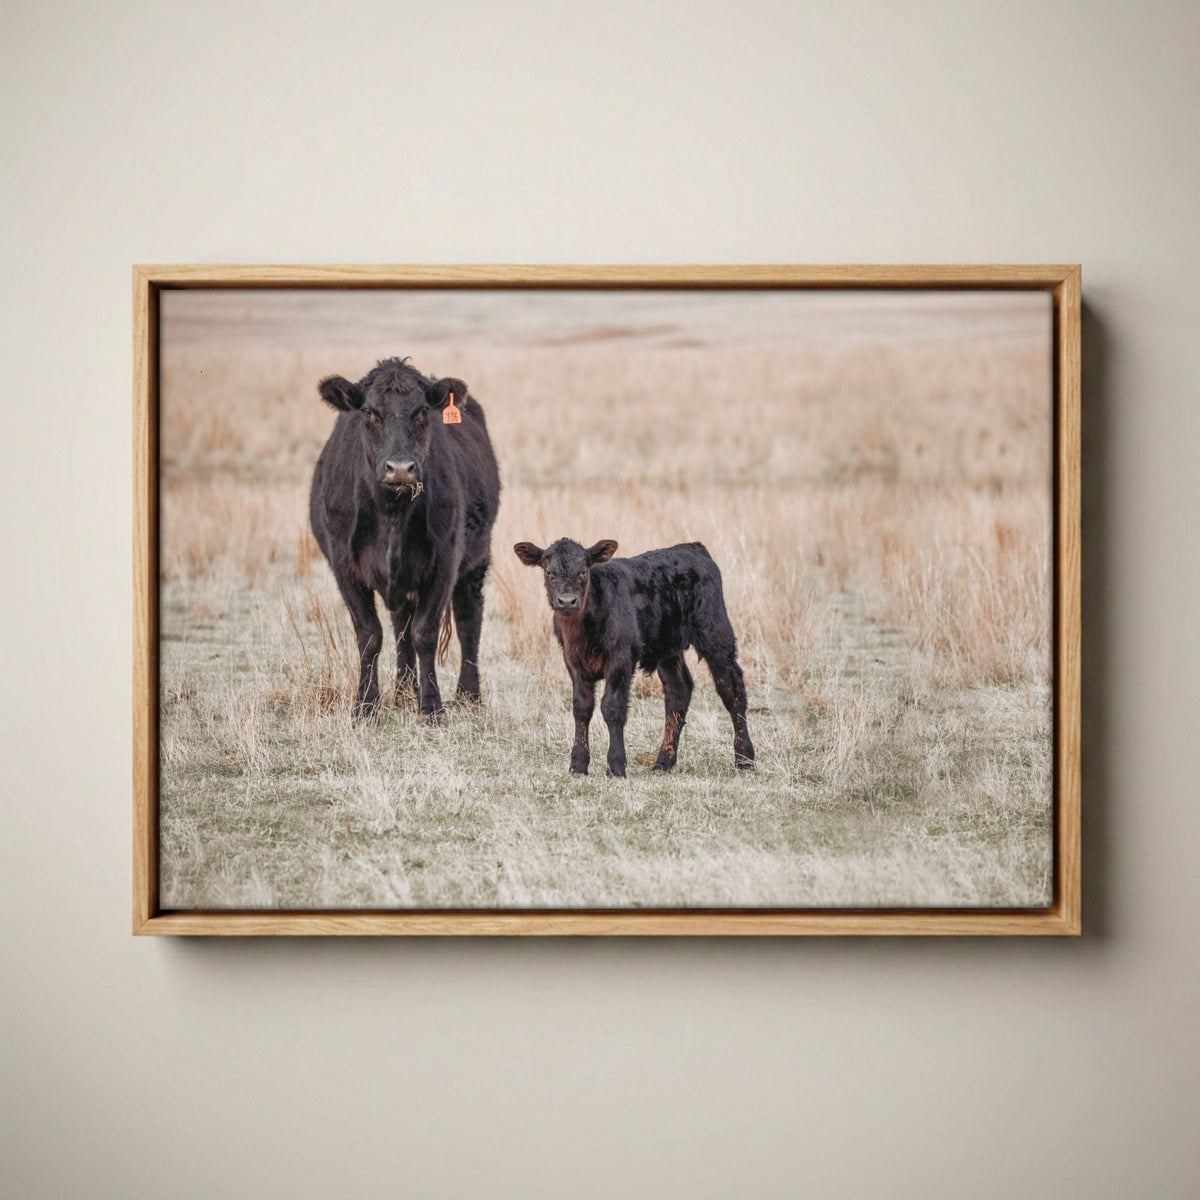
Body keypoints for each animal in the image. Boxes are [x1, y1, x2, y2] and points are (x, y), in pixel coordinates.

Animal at [310, 357, 500, 724]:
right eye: (370, 412)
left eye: (422, 411)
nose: (399, 468)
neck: (391, 514)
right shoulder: (344, 565)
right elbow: (370, 634)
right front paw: (366, 706)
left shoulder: (445, 560)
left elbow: (424, 632)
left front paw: (432, 709)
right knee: (401, 625)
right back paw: (403, 691)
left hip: (476, 559)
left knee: (469, 618)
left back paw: (468, 695)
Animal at [512, 538, 755, 777]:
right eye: (548, 572)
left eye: (583, 572)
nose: (566, 601)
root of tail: (693, 547)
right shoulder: (573, 661)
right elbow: (582, 708)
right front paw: (578, 766)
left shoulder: (621, 658)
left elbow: (612, 707)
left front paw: (616, 766)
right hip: (668, 648)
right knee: (678, 691)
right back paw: (663, 762)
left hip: (715, 632)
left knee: (732, 689)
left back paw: (744, 759)